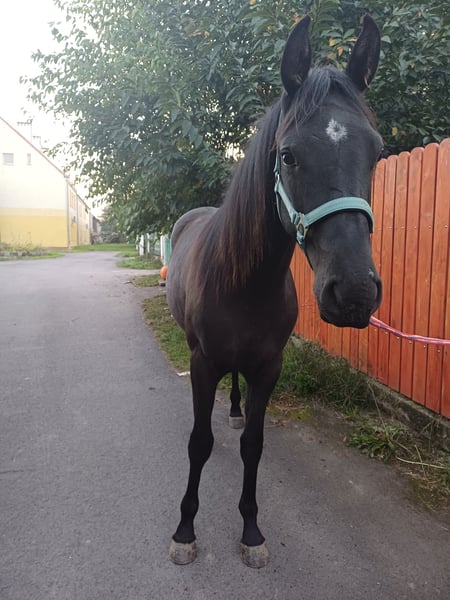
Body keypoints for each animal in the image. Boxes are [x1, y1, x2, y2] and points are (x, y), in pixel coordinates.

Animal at [166, 15, 382, 568]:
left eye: (376, 152)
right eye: (288, 155)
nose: (354, 291)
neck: (247, 284)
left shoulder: (269, 367)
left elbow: (255, 447)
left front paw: (251, 531)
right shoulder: (202, 363)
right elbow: (197, 443)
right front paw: (185, 530)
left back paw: (235, 411)